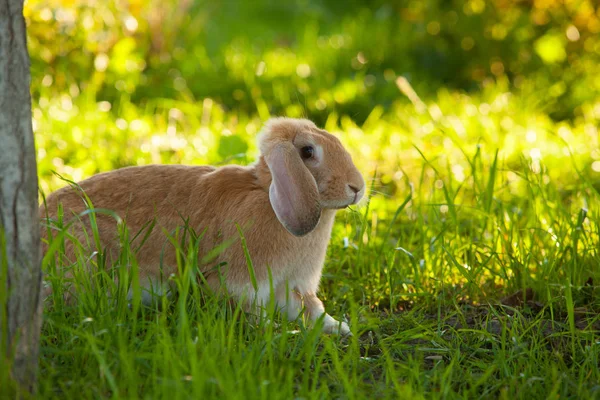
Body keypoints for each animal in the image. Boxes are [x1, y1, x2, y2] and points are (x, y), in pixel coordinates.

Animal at [41, 117, 366, 336]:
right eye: (308, 152)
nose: (357, 188)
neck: (266, 196)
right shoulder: (242, 283)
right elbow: (252, 310)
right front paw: (275, 330)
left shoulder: (292, 285)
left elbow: (310, 309)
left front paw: (339, 328)